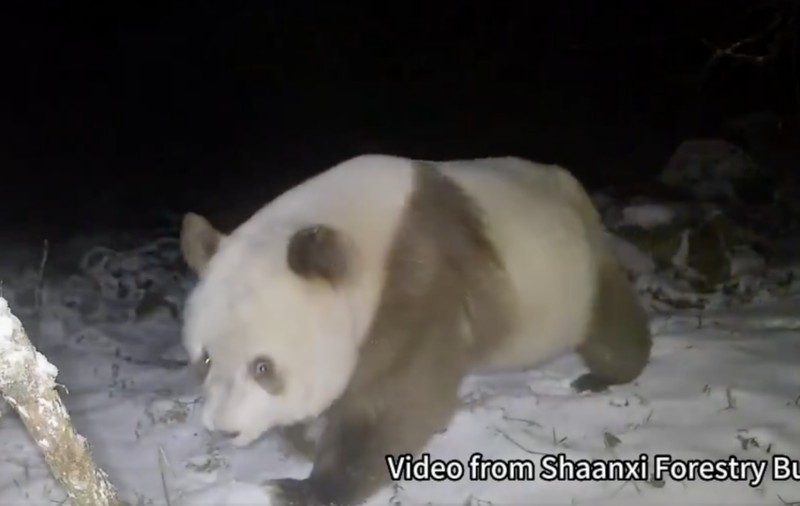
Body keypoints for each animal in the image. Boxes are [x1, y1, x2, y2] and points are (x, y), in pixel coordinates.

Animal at [179, 154, 652, 506]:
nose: (224, 429)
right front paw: (304, 440)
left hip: (574, 267)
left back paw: (604, 375)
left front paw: (302, 488)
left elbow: (397, 398)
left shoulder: (419, 275)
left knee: (607, 320)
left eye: (262, 367)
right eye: (205, 359)